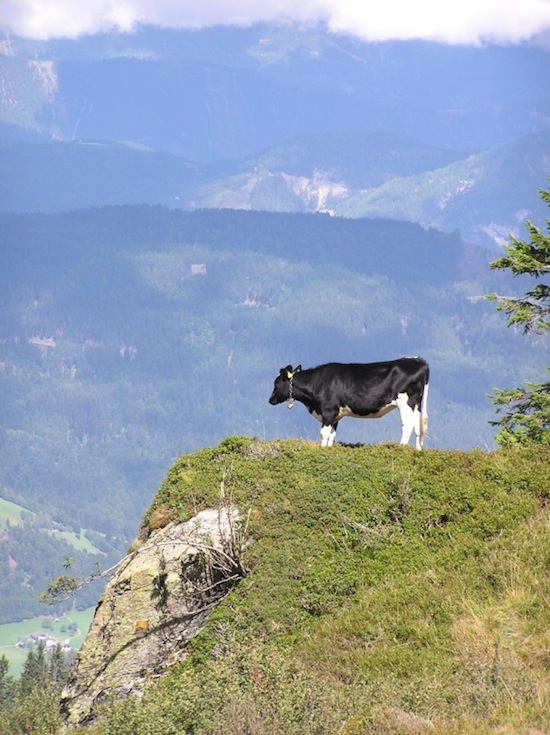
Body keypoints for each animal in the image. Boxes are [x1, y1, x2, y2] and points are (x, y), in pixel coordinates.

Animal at [269, 357, 430, 449]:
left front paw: (322, 450)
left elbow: (323, 433)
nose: (270, 400)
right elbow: (331, 435)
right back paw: (418, 450)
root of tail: (418, 360)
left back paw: (400, 448)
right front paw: (328, 450)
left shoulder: (328, 410)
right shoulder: (336, 415)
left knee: (407, 425)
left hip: (405, 402)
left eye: (276, 383)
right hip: (417, 404)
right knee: (418, 426)